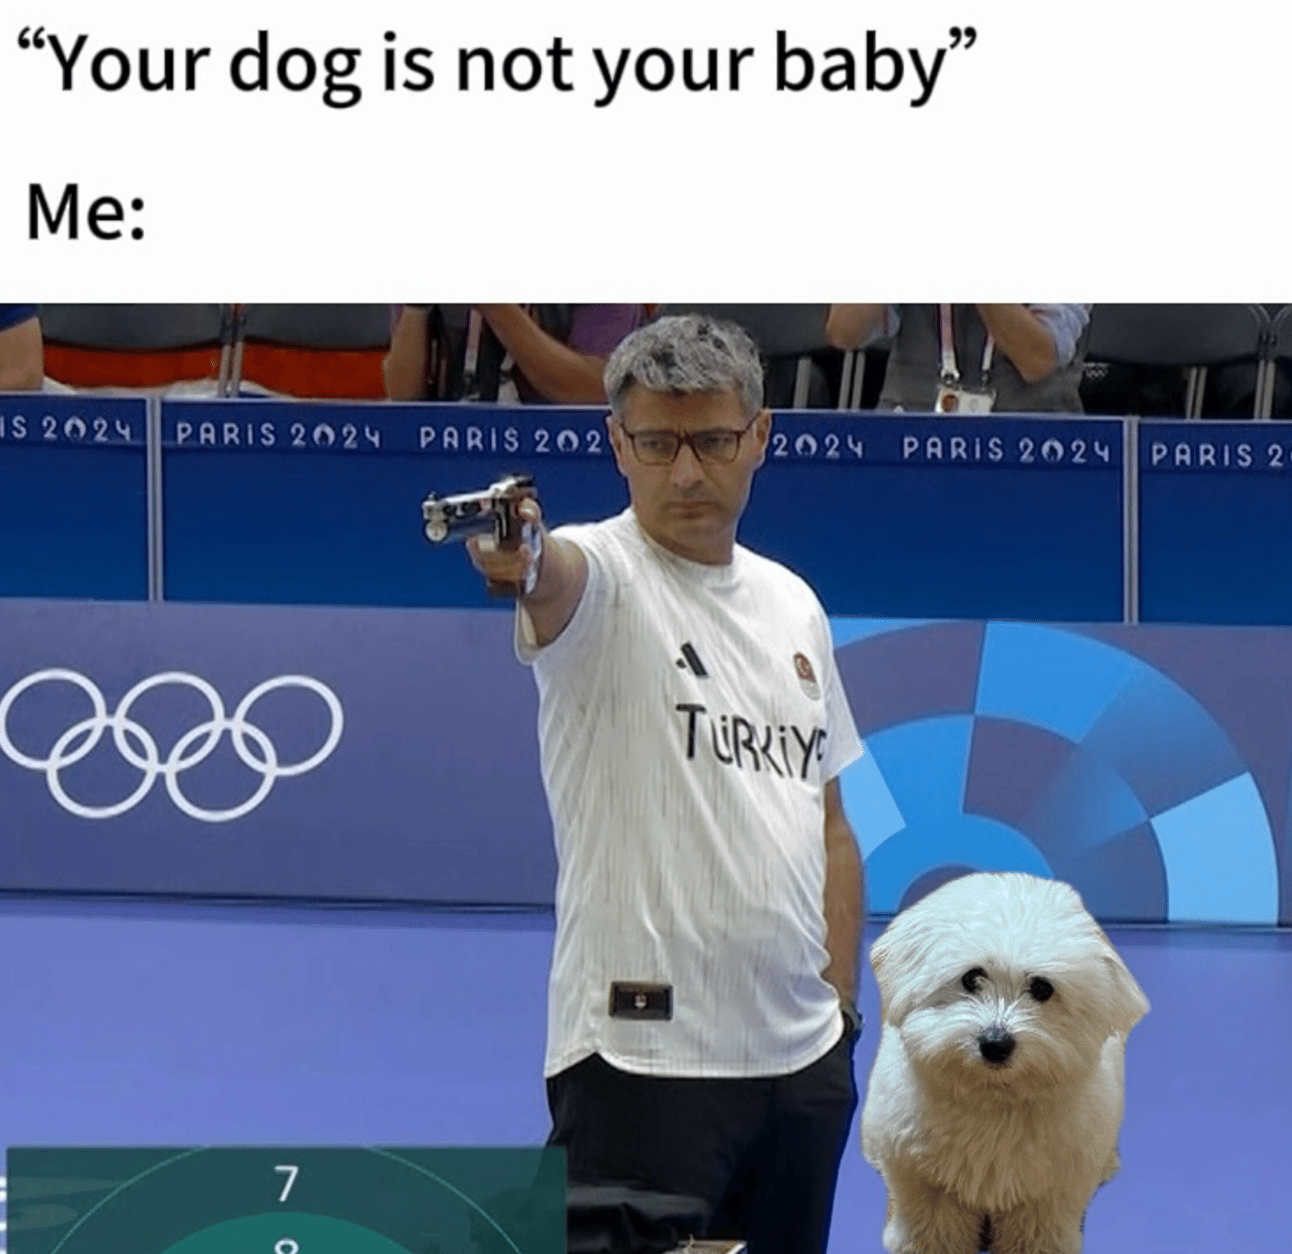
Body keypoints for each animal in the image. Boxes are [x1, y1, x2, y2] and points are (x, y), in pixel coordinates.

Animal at [861, 872, 1149, 1254]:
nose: (995, 1044)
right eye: (971, 977)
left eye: (1042, 988)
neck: (994, 1098)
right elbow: (934, 1231)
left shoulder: (1045, 1197)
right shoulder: (927, 1184)